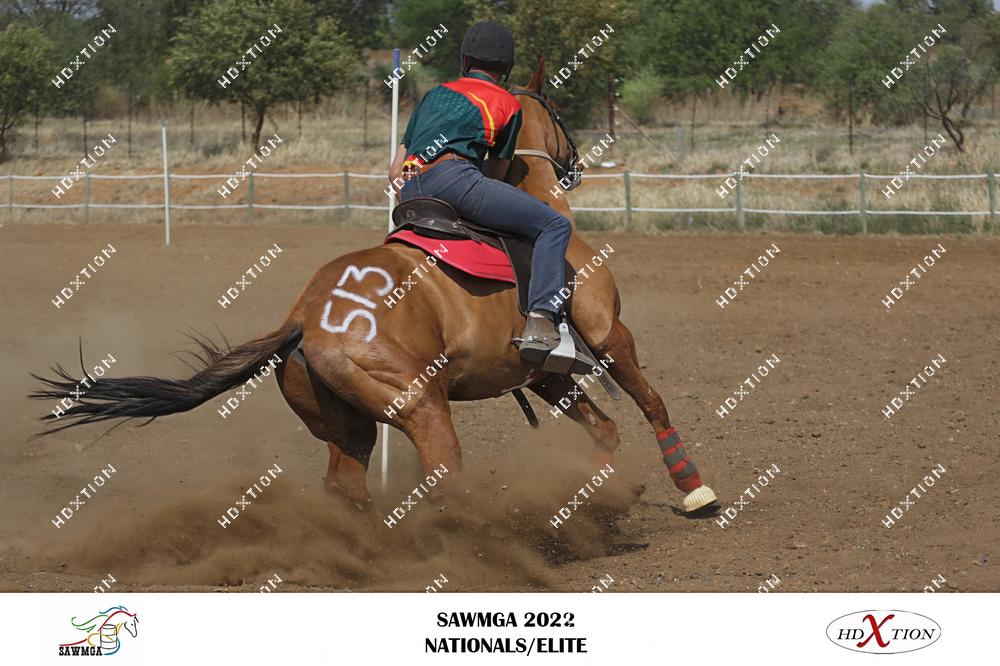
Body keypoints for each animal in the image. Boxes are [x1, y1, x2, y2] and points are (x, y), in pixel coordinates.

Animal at [31, 59, 719, 519]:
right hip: (420, 404)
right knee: (441, 477)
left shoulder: (543, 372)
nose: (575, 162)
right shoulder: (606, 333)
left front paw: (608, 492)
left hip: (351, 426)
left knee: (346, 485)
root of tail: (305, 317)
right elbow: (652, 403)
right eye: (557, 109)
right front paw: (693, 489)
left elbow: (602, 427)